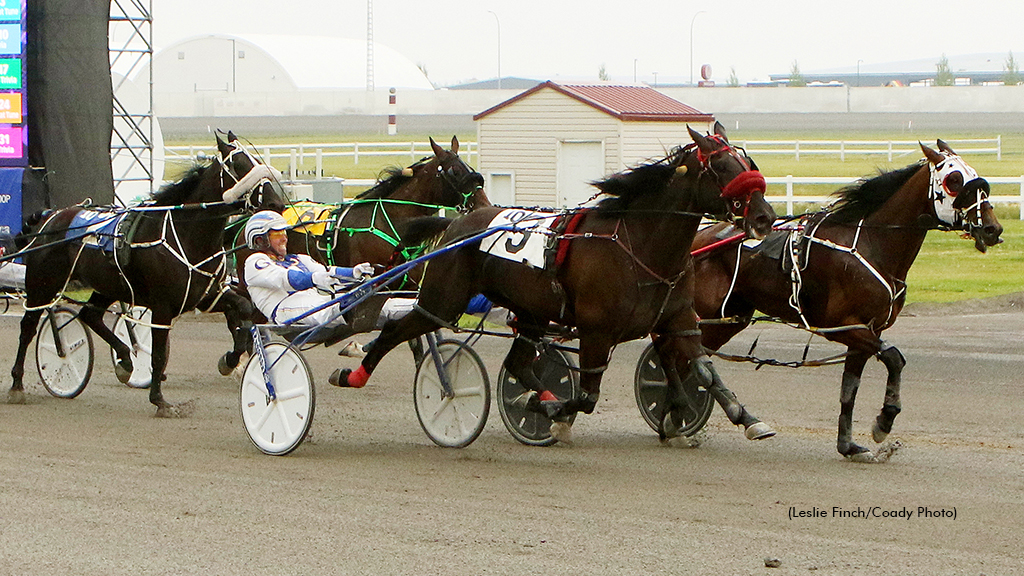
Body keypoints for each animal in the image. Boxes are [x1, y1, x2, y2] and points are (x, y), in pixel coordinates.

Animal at [9, 133, 286, 414]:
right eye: (240, 165)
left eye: (257, 161)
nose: (276, 203)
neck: (188, 235)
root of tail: (51, 216)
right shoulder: (162, 307)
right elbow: (159, 354)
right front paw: (159, 399)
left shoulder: (206, 296)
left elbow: (242, 308)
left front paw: (230, 360)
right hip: (42, 284)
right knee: (28, 327)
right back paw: (17, 385)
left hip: (109, 285)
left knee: (90, 315)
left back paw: (124, 360)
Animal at [335, 123, 774, 440]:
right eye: (721, 167)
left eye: (747, 161)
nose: (765, 217)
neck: (641, 245)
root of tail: (456, 224)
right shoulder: (597, 331)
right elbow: (588, 396)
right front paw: (552, 413)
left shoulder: (679, 318)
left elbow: (702, 370)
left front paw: (743, 417)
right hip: (442, 300)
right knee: (395, 329)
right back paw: (355, 374)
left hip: (530, 311)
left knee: (518, 361)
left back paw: (541, 394)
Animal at [692, 139, 1003, 457]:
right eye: (954, 180)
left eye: (976, 176)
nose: (992, 228)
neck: (871, 244)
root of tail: (699, 238)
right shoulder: (843, 327)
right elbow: (894, 358)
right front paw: (884, 421)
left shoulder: (865, 331)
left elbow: (849, 389)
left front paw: (848, 445)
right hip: (707, 313)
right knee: (695, 357)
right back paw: (739, 418)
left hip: (729, 318)